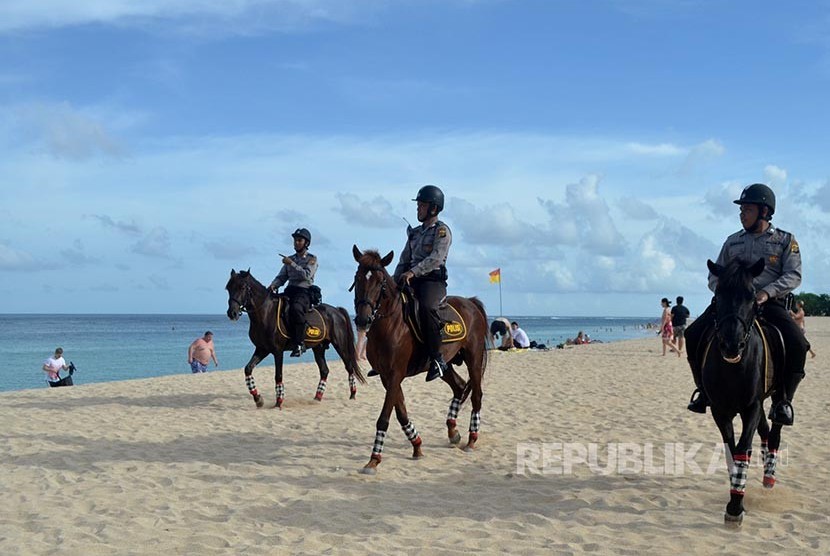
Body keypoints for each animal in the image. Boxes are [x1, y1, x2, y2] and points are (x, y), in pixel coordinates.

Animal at [226, 270, 366, 408]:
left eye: (242, 287)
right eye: (228, 288)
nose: (231, 313)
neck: (266, 313)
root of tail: (337, 310)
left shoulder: (277, 351)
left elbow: (278, 376)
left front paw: (278, 402)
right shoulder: (262, 349)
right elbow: (248, 369)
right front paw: (258, 399)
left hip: (340, 345)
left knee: (349, 367)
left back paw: (352, 394)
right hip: (318, 347)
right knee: (324, 370)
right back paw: (317, 397)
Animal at [350, 245, 488, 476]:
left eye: (380, 283)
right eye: (357, 278)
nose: (362, 320)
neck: (391, 323)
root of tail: (471, 302)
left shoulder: (395, 375)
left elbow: (384, 419)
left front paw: (374, 459)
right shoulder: (387, 377)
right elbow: (401, 414)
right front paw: (417, 446)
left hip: (474, 359)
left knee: (476, 394)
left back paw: (471, 439)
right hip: (445, 365)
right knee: (460, 387)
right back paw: (453, 431)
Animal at [704, 258, 788, 524]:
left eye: (752, 295)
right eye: (718, 294)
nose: (731, 345)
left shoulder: (751, 406)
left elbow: (742, 449)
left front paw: (735, 506)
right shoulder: (720, 410)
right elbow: (732, 450)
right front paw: (736, 494)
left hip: (776, 397)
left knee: (774, 432)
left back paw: (769, 476)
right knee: (764, 432)